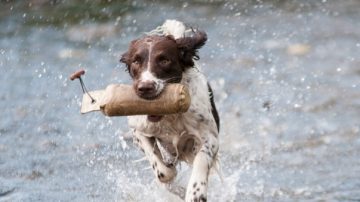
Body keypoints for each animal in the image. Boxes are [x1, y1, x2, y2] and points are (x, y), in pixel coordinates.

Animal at [121, 20, 219, 202]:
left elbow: (202, 159)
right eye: (136, 61)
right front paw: (171, 175)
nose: (145, 88)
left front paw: (196, 192)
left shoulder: (210, 137)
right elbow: (162, 171)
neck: (170, 116)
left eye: (164, 60)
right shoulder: (138, 130)